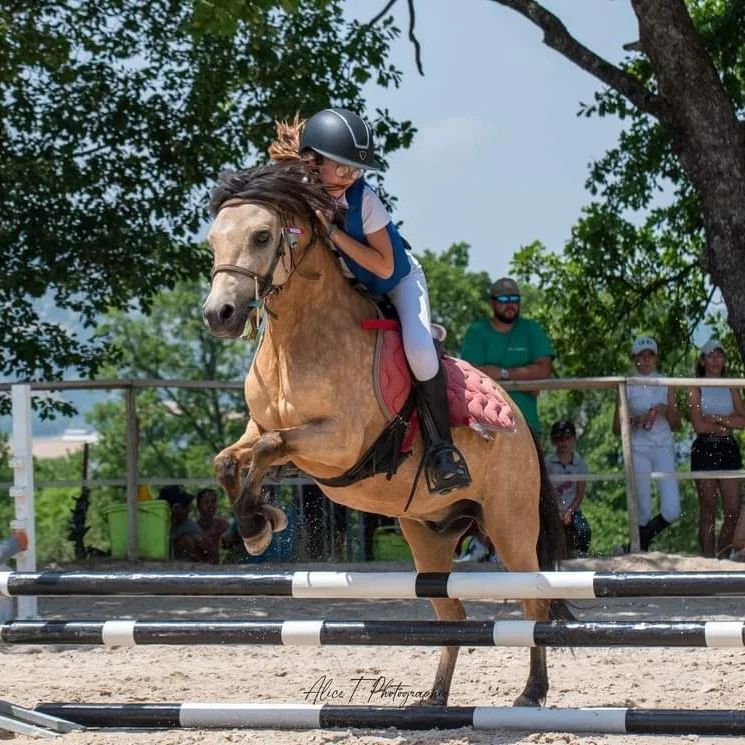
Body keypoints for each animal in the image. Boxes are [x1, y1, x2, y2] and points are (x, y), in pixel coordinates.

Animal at [202, 159, 568, 707]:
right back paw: (435, 699)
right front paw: (259, 521)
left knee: (533, 607)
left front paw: (258, 521)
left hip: (511, 526)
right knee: (452, 614)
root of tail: (521, 425)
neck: (297, 341)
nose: (217, 315)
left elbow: (270, 448)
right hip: (427, 532)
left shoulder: (336, 443)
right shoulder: (263, 427)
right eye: (212, 240)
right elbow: (232, 458)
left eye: (262, 236)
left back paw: (531, 693)